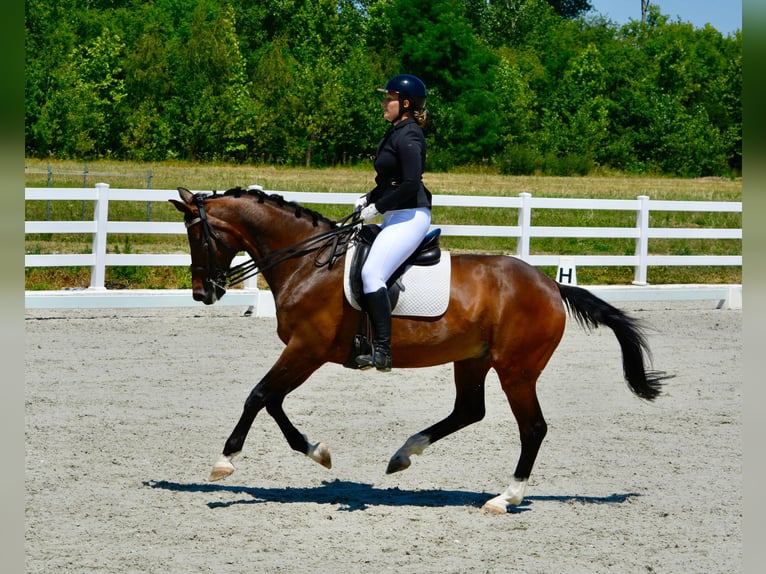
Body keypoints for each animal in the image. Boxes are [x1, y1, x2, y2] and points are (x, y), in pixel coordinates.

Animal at [170, 185, 672, 514]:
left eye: (199, 236)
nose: (203, 293)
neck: (307, 262)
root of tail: (551, 284)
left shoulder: (306, 349)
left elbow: (258, 395)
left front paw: (224, 461)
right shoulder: (306, 352)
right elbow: (273, 401)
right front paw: (317, 451)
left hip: (516, 369)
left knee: (532, 428)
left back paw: (505, 497)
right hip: (472, 360)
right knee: (469, 411)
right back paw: (403, 455)